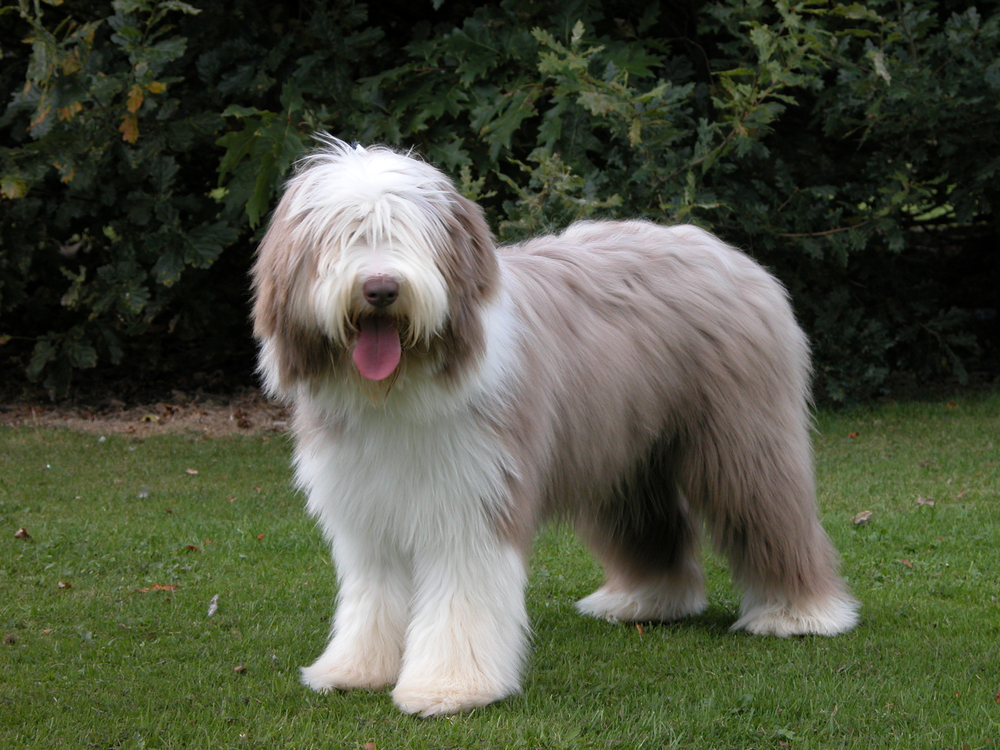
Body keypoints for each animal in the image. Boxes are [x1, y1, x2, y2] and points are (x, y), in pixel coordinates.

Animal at [250, 138, 860, 720]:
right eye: (343, 237)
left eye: (407, 234)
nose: (380, 288)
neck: (398, 389)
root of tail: (726, 253)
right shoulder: (364, 508)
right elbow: (372, 595)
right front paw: (355, 670)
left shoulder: (476, 498)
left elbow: (461, 598)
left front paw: (450, 687)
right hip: (625, 453)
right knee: (651, 522)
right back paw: (645, 601)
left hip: (742, 439)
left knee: (770, 511)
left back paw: (799, 614)